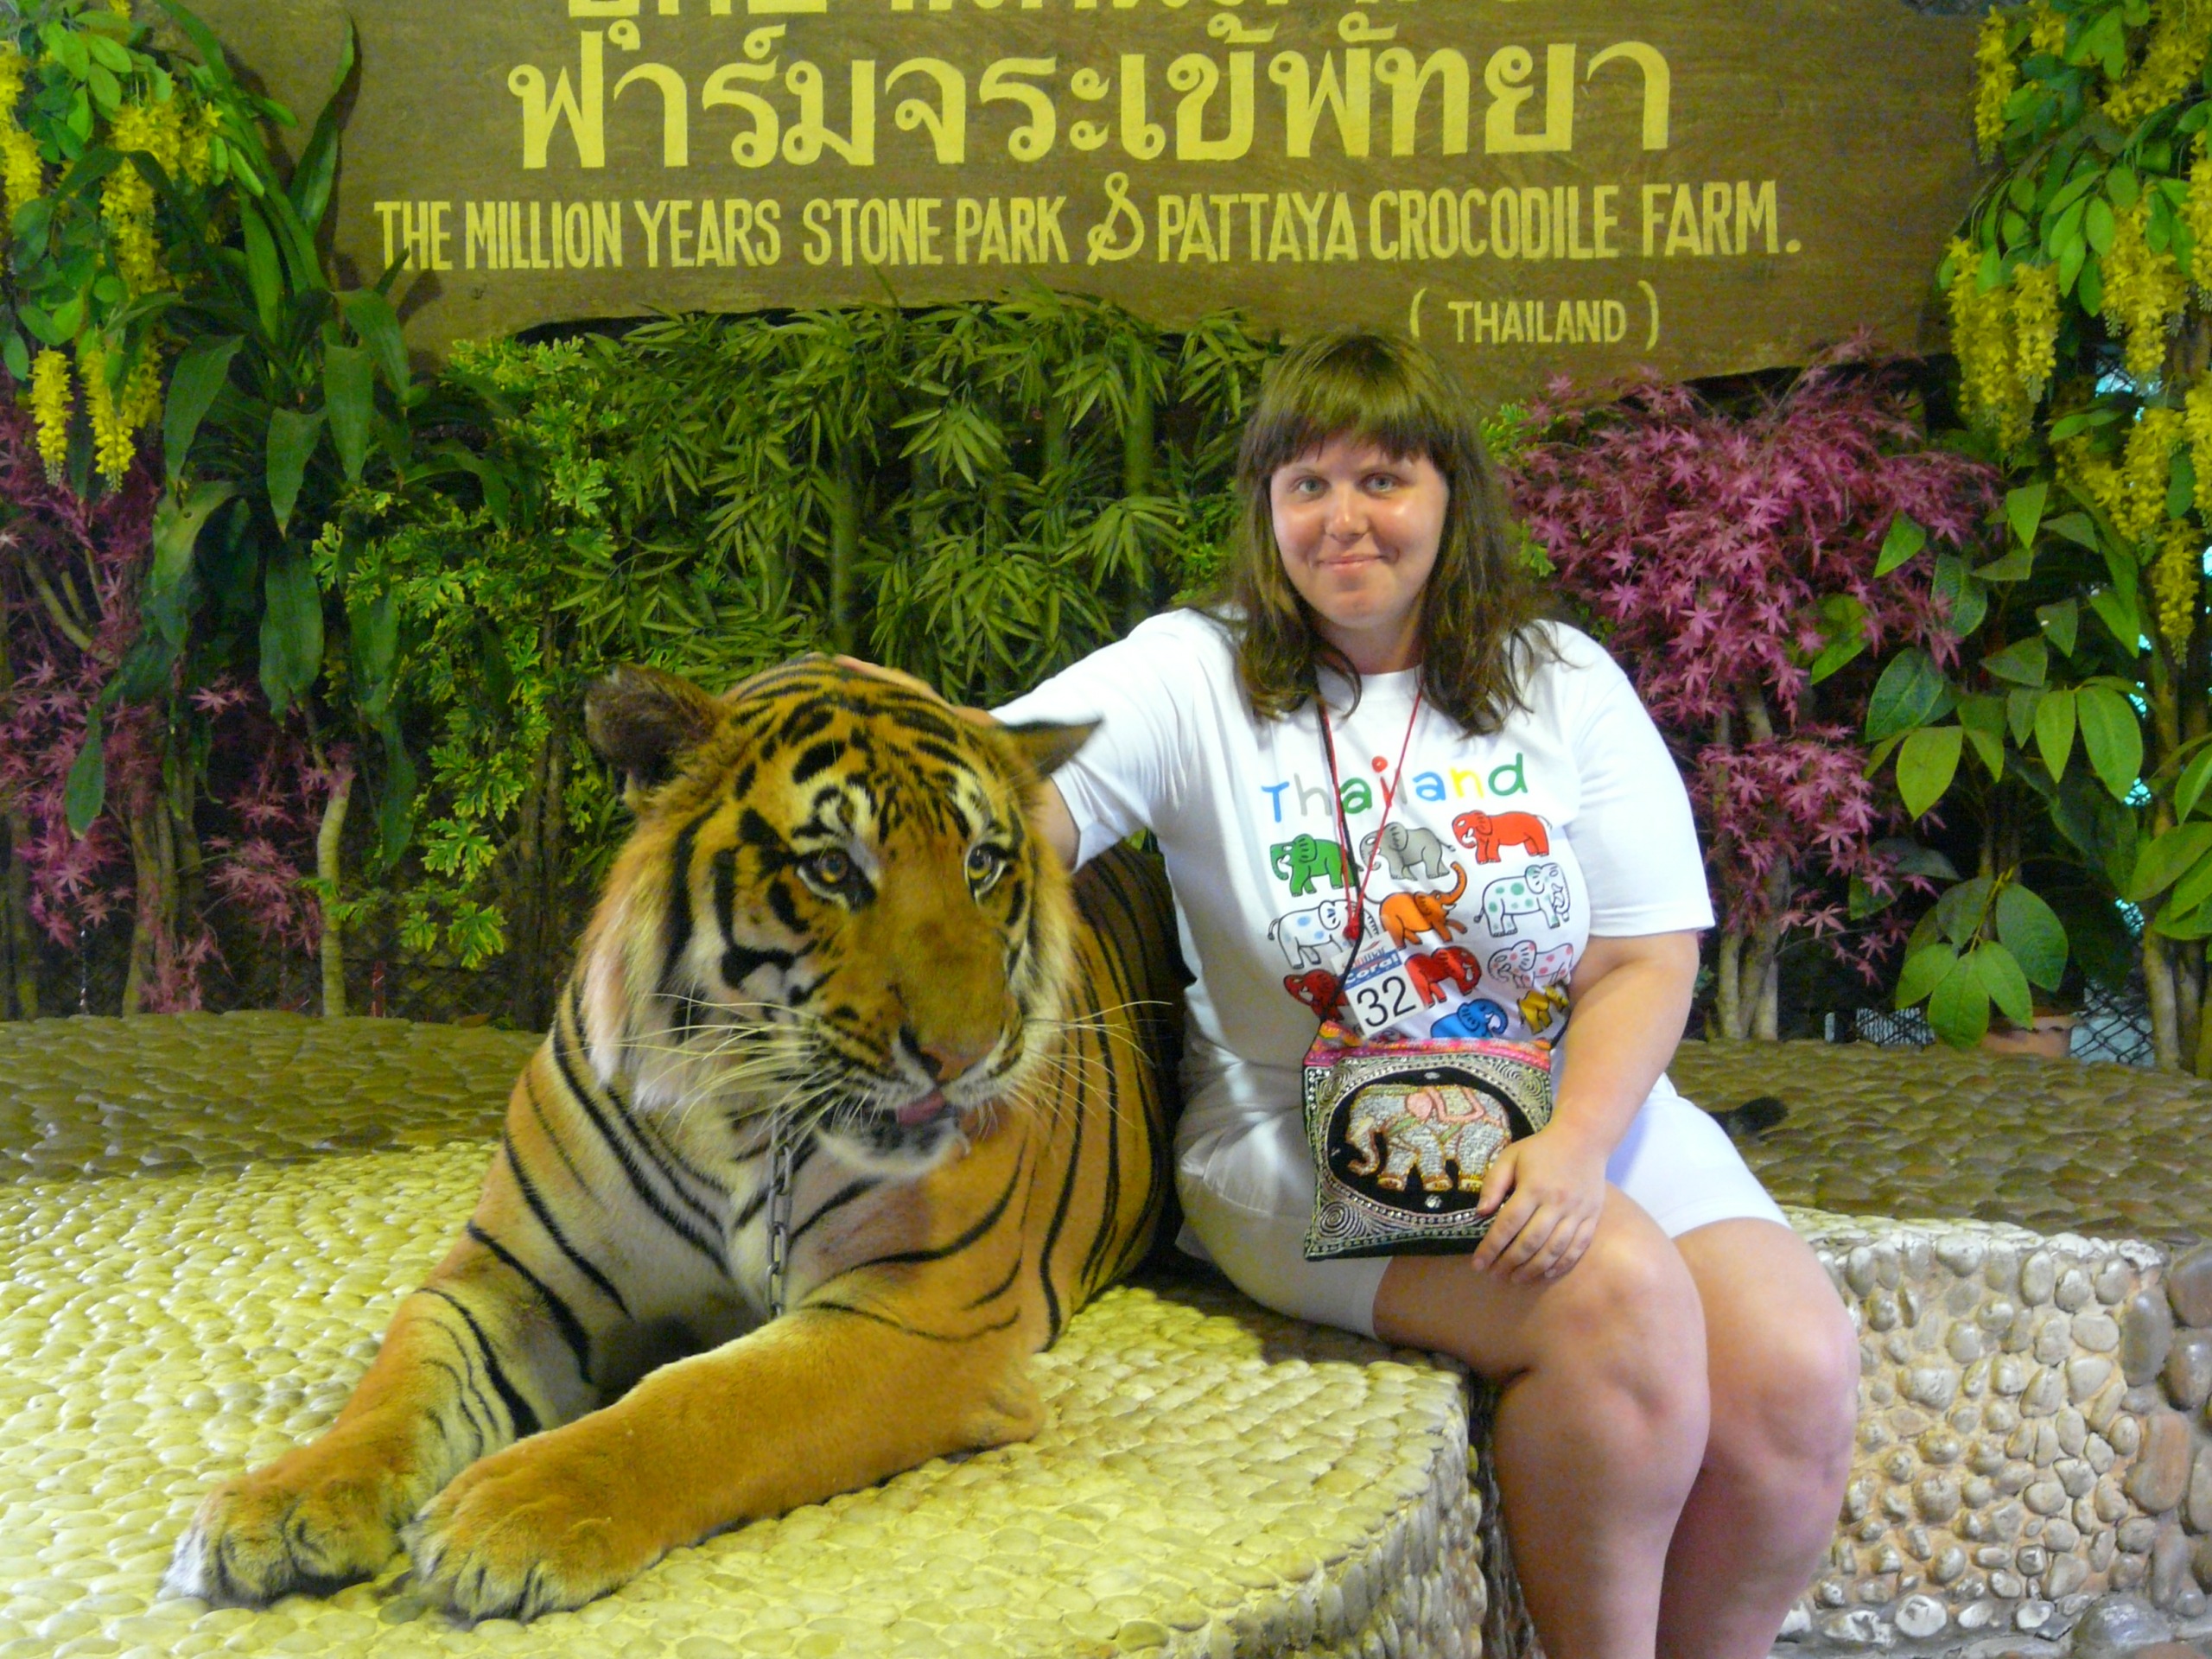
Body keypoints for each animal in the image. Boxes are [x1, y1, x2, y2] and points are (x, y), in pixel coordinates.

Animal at [164, 657, 1181, 1621]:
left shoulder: (925, 1309)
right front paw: (281, 1503)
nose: (966, 1057)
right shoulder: (507, 1281)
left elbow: (706, 1400)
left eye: (983, 865)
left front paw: (517, 1511)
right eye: (832, 870)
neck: (745, 1114)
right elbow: (397, 1391)